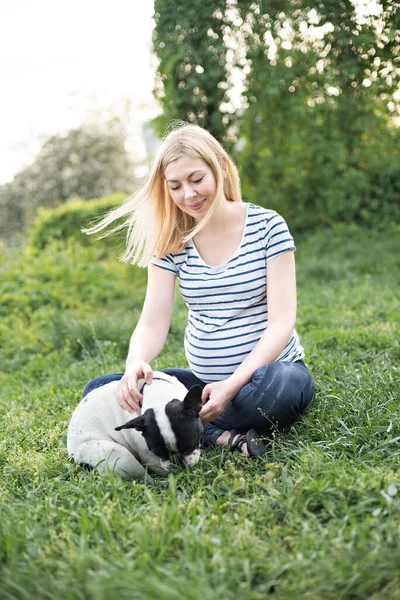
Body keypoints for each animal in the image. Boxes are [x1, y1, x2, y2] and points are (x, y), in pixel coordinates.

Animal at [68, 370, 203, 482]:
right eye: (158, 453)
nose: (177, 462)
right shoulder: (149, 456)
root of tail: (74, 458)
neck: (158, 395)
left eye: (191, 446)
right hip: (120, 455)